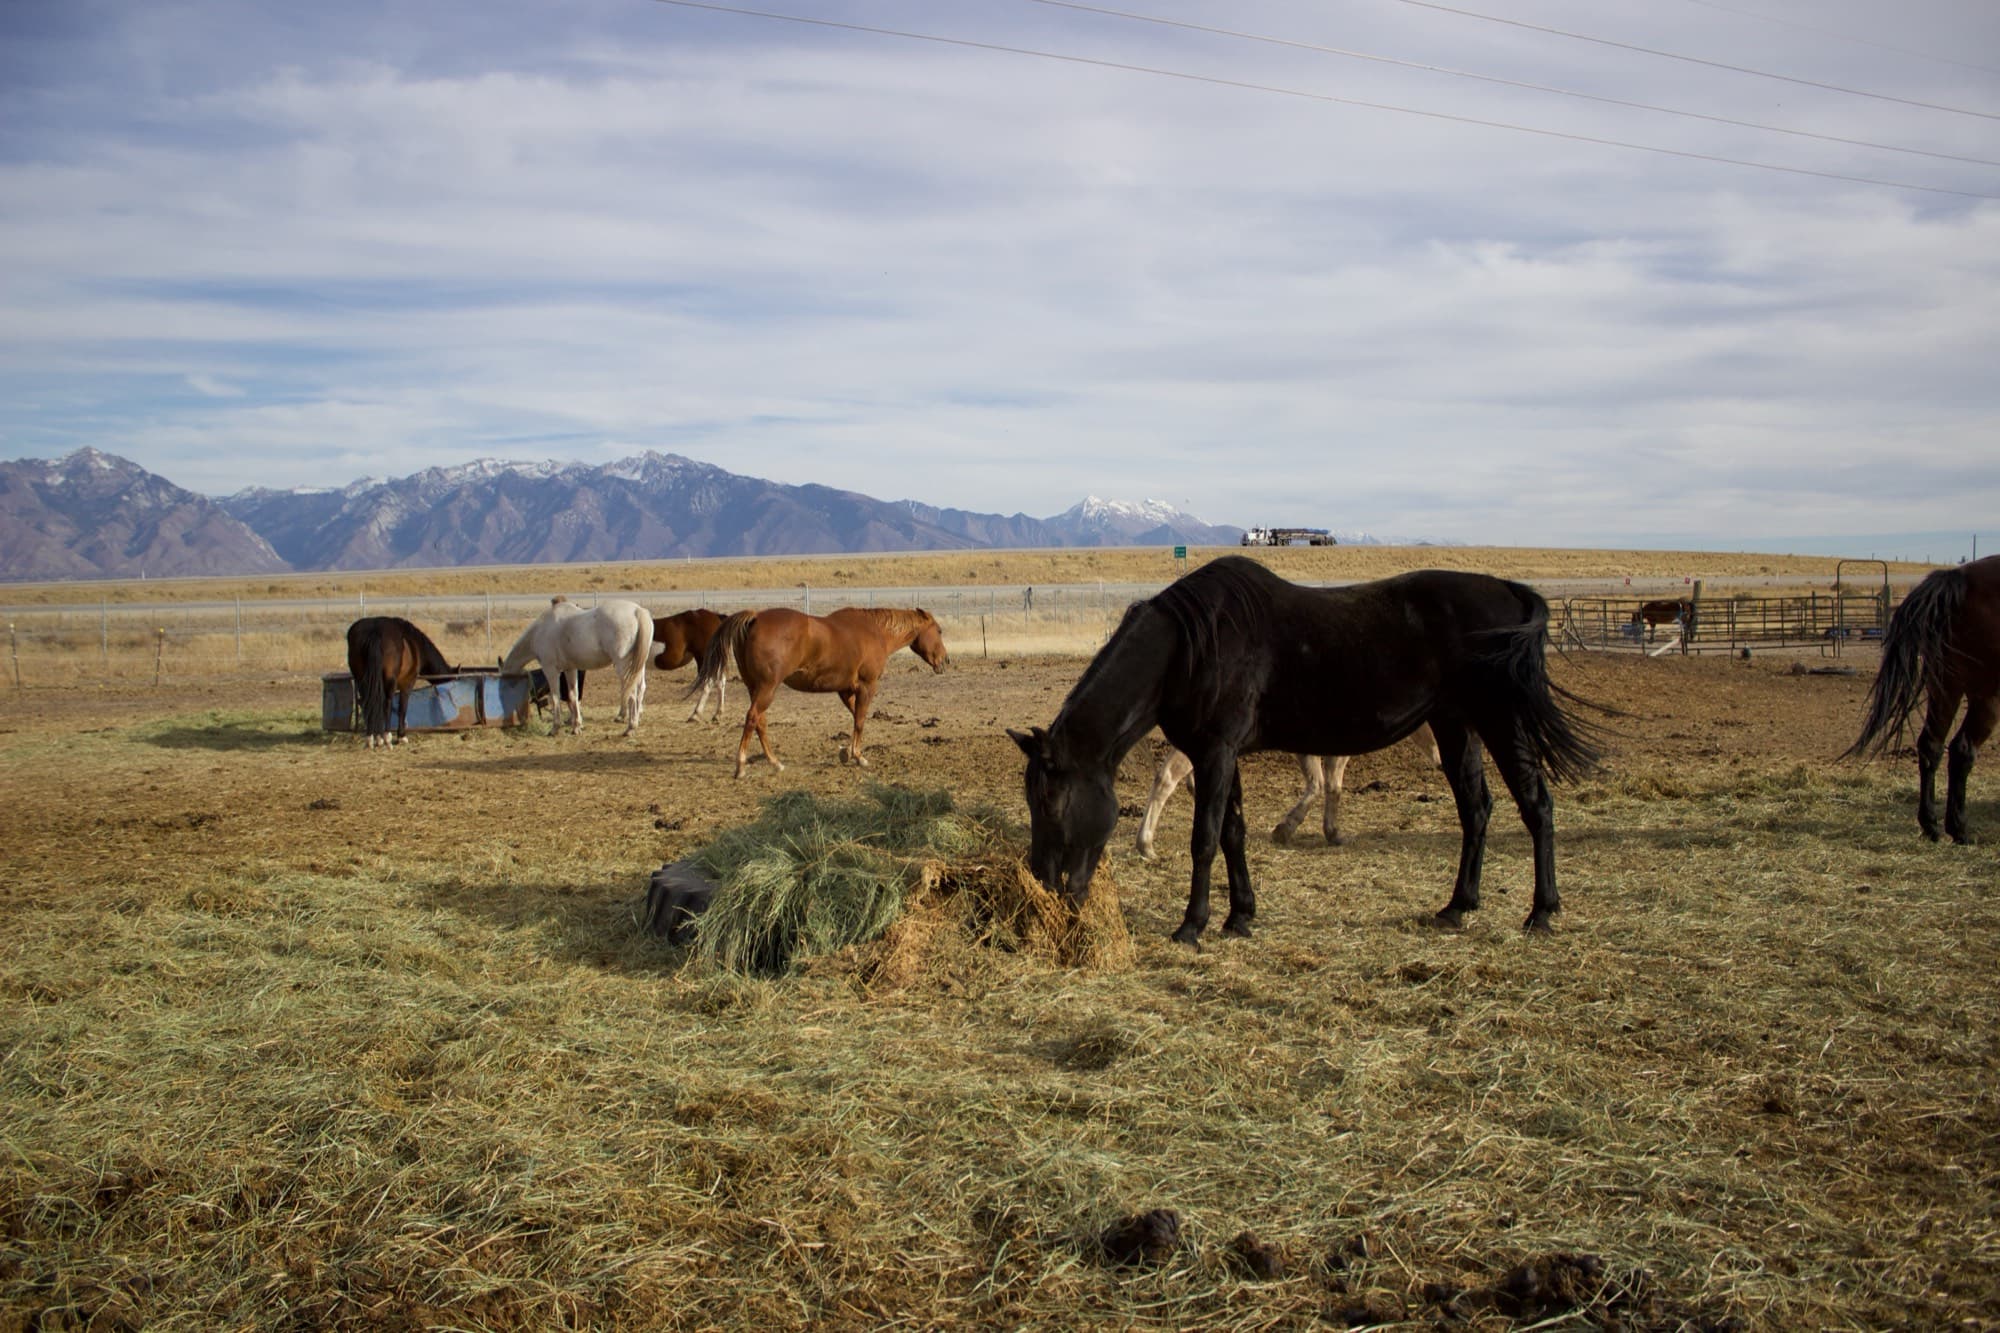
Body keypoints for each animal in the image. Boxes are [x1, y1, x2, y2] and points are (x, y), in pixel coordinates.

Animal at [345, 616, 455, 749]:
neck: (415, 644)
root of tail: (375, 631)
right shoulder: (407, 683)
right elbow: (402, 708)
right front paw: (401, 736)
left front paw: (378, 738)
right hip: (389, 681)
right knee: (387, 704)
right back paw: (387, 738)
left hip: (362, 680)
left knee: (369, 703)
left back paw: (370, 738)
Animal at [500, 596, 654, 736]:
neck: (541, 630)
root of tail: (637, 610)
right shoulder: (570, 669)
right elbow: (573, 696)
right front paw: (576, 727)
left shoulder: (551, 670)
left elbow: (555, 697)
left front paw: (555, 728)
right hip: (637, 667)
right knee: (640, 690)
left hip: (623, 666)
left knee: (631, 695)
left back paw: (630, 728)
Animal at [689, 606, 949, 777]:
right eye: (939, 630)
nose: (945, 661)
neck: (875, 632)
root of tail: (755, 617)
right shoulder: (867, 686)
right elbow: (860, 721)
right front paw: (858, 756)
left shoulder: (845, 690)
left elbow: (857, 718)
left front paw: (846, 752)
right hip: (766, 689)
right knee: (753, 718)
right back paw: (741, 766)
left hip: (755, 688)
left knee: (759, 722)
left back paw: (775, 762)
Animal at [1135, 724, 1442, 858]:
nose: (1442, 761)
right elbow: (1329, 783)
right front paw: (1325, 832)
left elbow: (1320, 782)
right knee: (1166, 777)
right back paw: (1146, 845)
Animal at [1845, 554, 2000, 843]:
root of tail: (1959, 578)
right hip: (1985, 695)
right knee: (1962, 749)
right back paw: (1958, 829)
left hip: (1945, 685)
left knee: (1932, 746)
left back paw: (1931, 825)